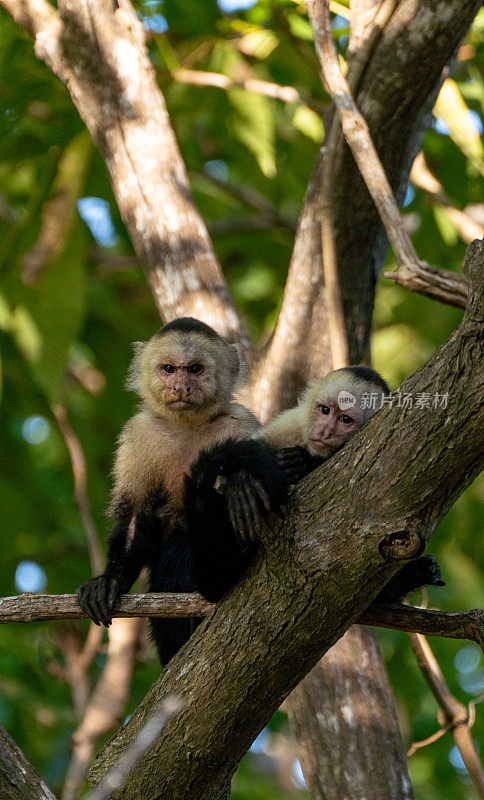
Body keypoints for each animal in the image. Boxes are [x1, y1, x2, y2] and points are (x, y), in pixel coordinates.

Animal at [78, 316, 268, 664]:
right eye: (168, 369)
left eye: (194, 369)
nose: (180, 387)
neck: (187, 426)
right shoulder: (140, 434)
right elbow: (134, 513)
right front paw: (110, 580)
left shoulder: (240, 424)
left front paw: (243, 487)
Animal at [184, 366, 442, 604]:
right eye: (324, 410)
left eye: (345, 419)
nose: (325, 431)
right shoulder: (288, 427)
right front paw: (243, 482)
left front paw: (301, 464)